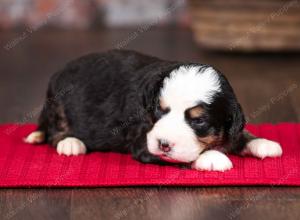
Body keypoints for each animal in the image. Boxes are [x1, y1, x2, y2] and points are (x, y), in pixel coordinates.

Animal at [24, 50, 282, 172]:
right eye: (160, 110)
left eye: (198, 121)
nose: (164, 143)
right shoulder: (143, 142)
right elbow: (182, 158)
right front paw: (212, 158)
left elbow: (240, 134)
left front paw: (262, 143)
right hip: (58, 105)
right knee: (53, 131)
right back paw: (70, 143)